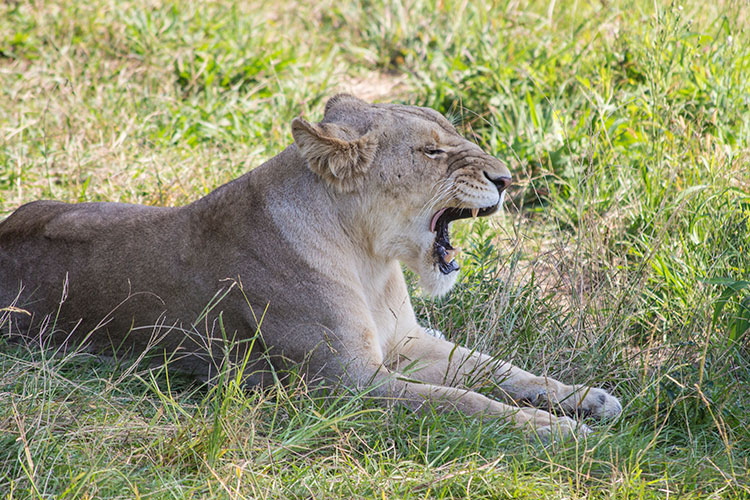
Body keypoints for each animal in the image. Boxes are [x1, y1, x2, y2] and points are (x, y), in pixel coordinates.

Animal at [1, 94, 624, 438]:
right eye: (431, 152)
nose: (506, 178)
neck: (370, 260)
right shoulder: (347, 386)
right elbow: (464, 400)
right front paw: (557, 431)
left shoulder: (407, 344)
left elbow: (497, 370)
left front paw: (589, 398)